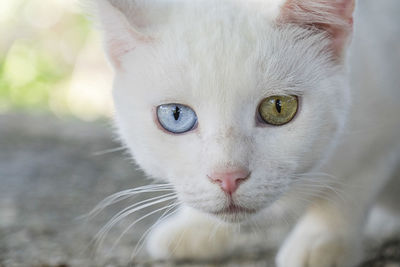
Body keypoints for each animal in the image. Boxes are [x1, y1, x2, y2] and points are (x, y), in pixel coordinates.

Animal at [86, 1, 400, 266]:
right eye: (175, 115)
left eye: (279, 107)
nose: (228, 176)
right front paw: (196, 226)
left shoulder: (381, 134)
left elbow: (347, 192)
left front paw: (321, 242)